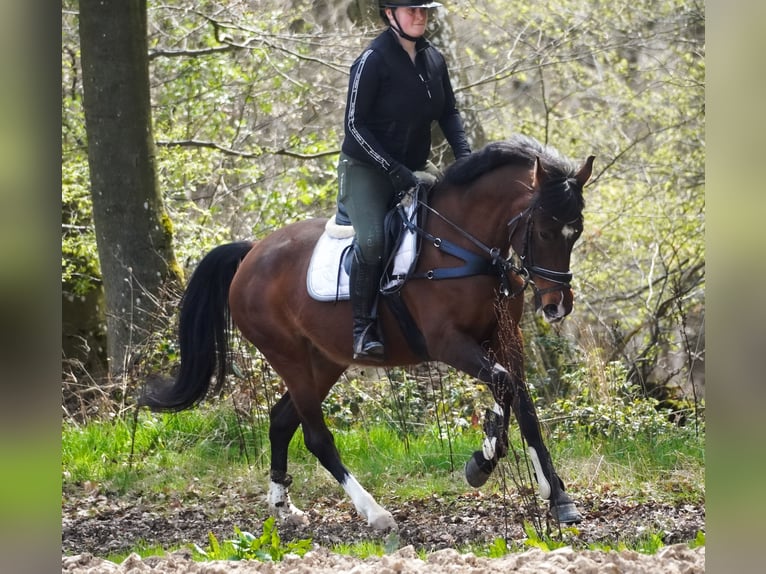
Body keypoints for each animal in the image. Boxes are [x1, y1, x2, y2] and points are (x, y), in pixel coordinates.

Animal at [141, 133, 595, 531]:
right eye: (543, 230)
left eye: (576, 231)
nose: (557, 305)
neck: (466, 247)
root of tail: (251, 253)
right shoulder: (448, 343)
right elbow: (504, 386)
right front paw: (482, 460)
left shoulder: (504, 336)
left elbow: (521, 402)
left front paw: (557, 497)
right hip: (289, 356)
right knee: (315, 435)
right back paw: (375, 513)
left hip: (325, 359)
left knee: (281, 420)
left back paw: (284, 508)